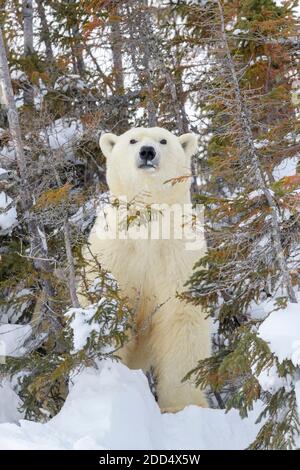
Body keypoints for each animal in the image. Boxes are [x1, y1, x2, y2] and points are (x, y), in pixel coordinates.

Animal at [79, 129, 211, 412]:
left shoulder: (178, 254)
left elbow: (181, 320)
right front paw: (110, 377)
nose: (147, 152)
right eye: (132, 140)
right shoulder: (115, 254)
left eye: (163, 140)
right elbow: (108, 306)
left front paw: (183, 406)